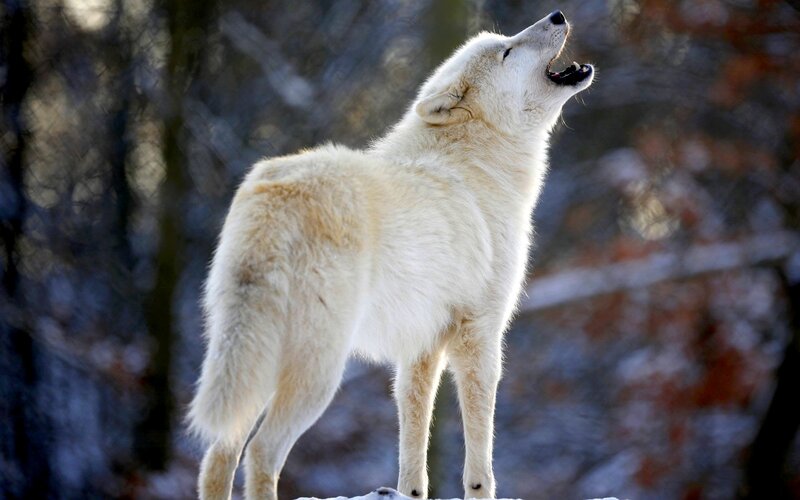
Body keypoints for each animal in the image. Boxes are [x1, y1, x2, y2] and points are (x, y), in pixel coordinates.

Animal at [189, 10, 593, 500]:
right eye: (507, 51)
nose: (557, 14)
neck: (478, 163)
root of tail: (275, 194)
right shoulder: (480, 333)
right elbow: (480, 453)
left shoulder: (421, 345)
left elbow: (413, 442)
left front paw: (409, 492)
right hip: (318, 372)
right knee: (261, 452)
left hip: (256, 363)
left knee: (218, 455)